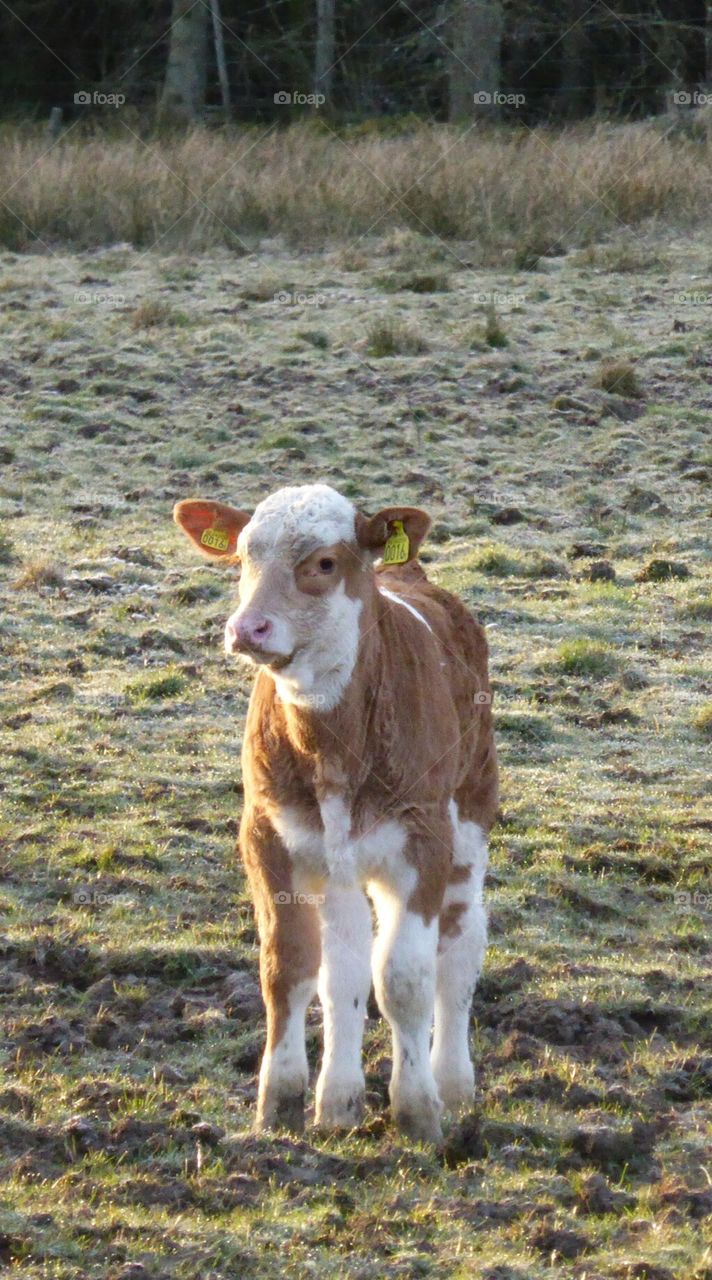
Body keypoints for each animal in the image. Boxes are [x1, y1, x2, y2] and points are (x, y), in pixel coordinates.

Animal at [174, 483, 498, 1143]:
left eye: (323, 562)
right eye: (244, 555)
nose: (248, 627)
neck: (334, 745)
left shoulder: (423, 838)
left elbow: (404, 979)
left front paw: (417, 1112)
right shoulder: (268, 836)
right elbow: (291, 968)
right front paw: (279, 1104)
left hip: (471, 816)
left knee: (458, 949)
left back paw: (453, 1086)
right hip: (339, 865)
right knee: (344, 966)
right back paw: (339, 1104)